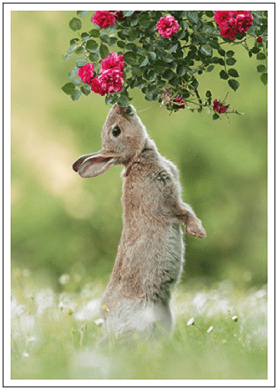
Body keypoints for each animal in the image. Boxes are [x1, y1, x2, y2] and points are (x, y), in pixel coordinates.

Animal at [73, 103, 205, 342]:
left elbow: (186, 209)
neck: (136, 158)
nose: (120, 105)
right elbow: (183, 213)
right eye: (116, 131)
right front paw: (198, 232)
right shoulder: (165, 201)